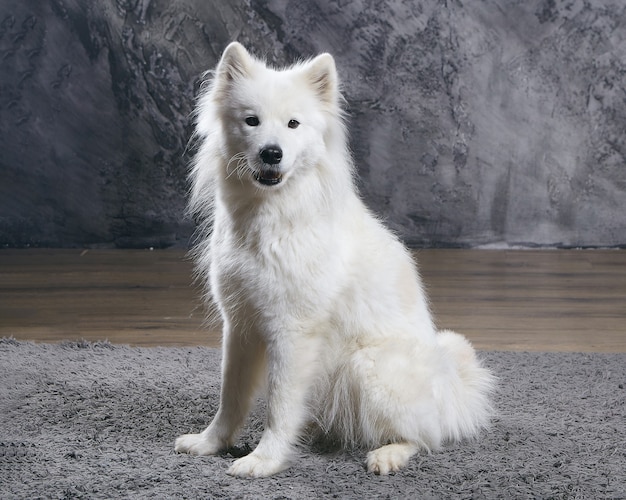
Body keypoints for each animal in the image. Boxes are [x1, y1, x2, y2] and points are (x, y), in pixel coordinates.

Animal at [176, 42, 492, 476]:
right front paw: (211, 443)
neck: (272, 217)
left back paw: (388, 454)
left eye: (293, 124)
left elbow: (279, 404)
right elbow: (231, 397)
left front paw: (265, 460)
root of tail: (453, 395)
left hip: (367, 366)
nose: (271, 153)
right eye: (252, 121)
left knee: (428, 435)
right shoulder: (239, 325)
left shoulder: (292, 331)